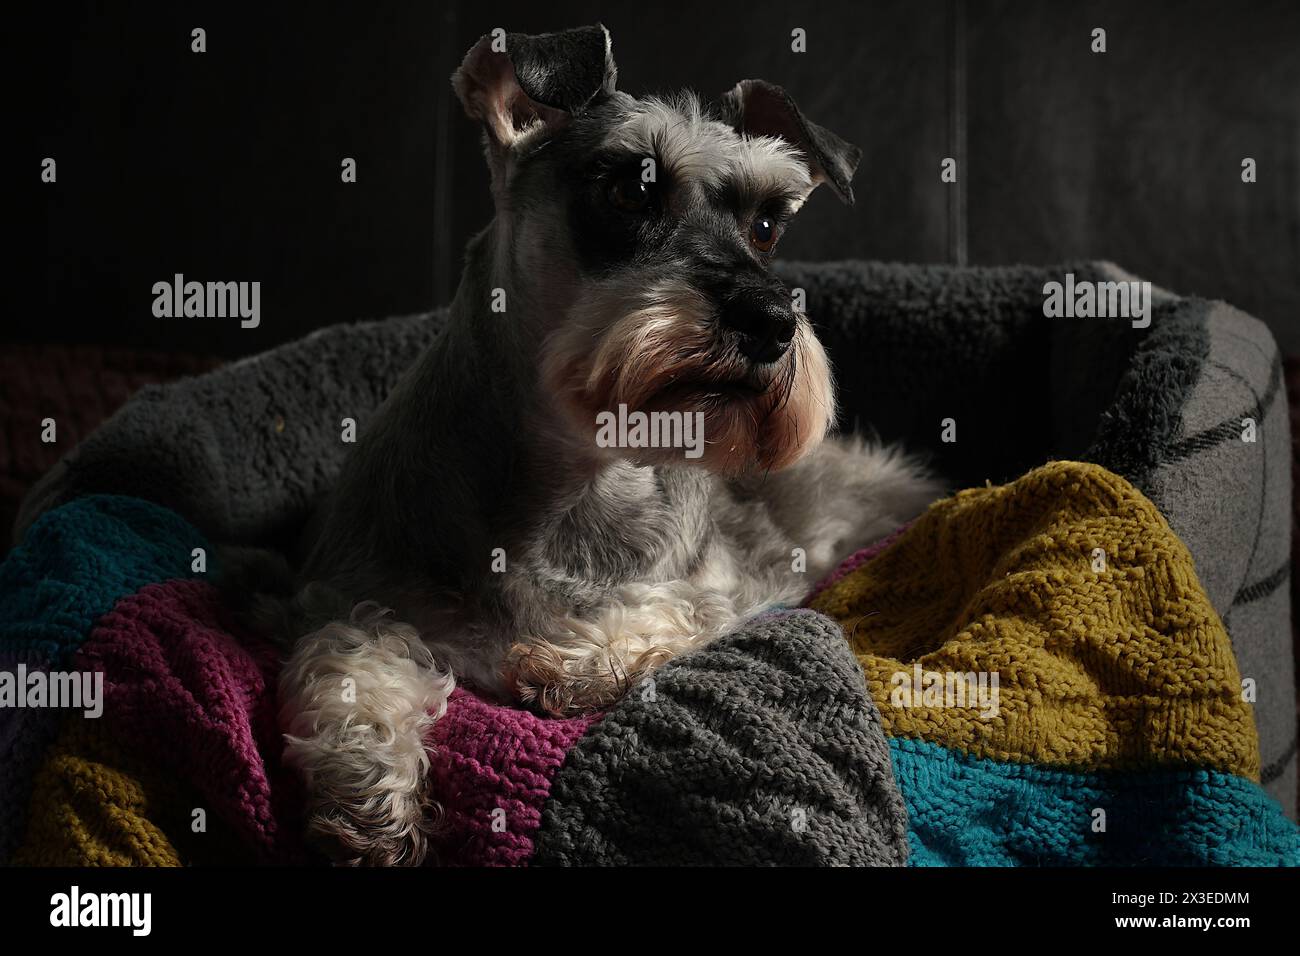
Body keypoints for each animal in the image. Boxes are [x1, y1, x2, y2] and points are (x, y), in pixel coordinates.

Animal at [279, 26, 941, 868]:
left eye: (768, 224)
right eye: (631, 191)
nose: (771, 321)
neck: (579, 478)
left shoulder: (738, 584)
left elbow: (678, 607)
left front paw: (576, 660)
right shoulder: (341, 591)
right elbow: (345, 659)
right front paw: (367, 798)